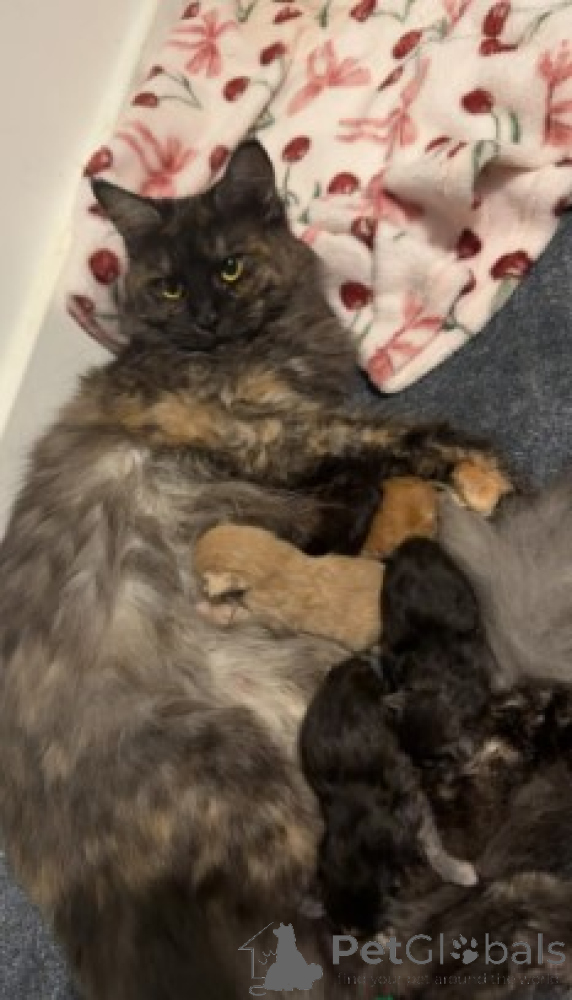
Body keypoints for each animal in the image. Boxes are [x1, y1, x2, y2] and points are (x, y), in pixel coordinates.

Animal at [0, 140, 510, 1000]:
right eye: (171, 285)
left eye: (231, 268)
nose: (206, 315)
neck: (266, 345)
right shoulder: (270, 430)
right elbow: (392, 432)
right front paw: (477, 463)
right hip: (252, 778)